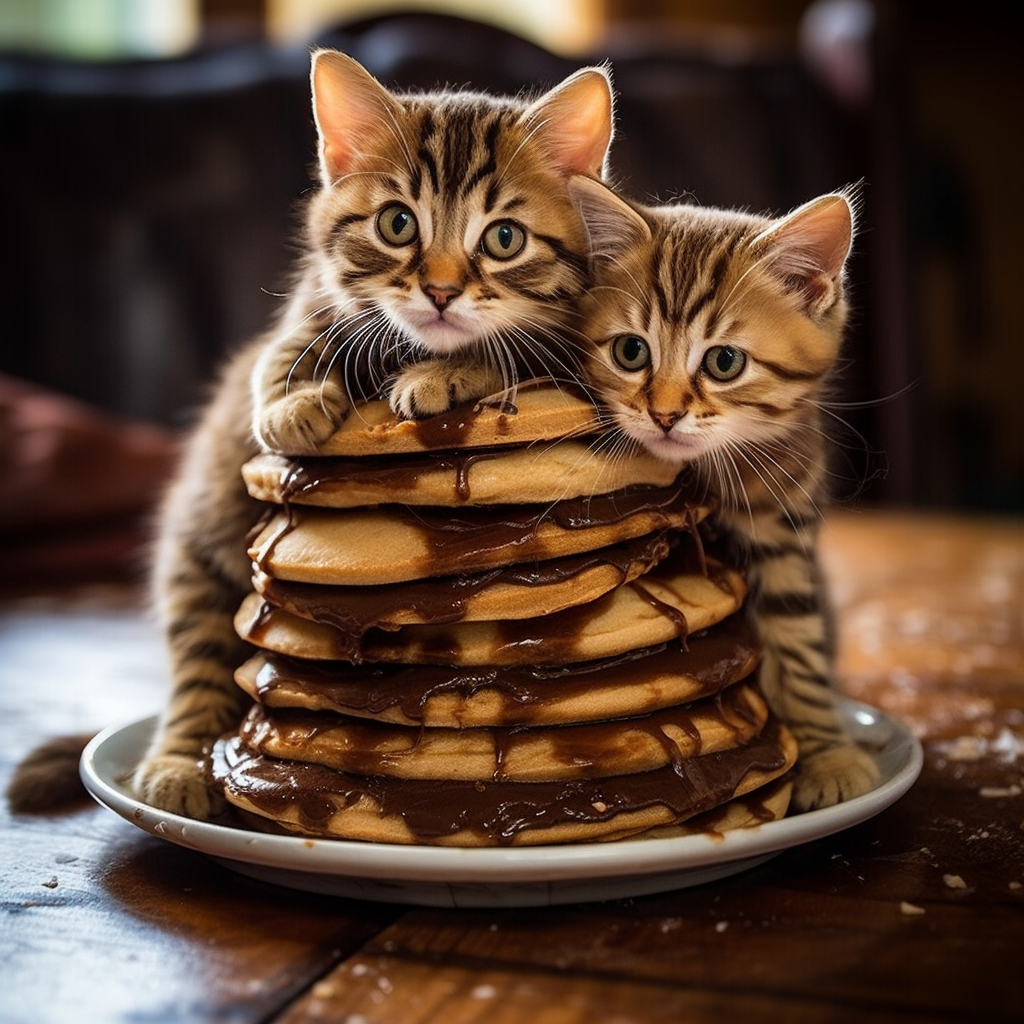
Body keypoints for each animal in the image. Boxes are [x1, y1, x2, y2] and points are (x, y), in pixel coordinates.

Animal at [136, 54, 614, 815]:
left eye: (504, 238)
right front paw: (293, 402)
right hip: (199, 542)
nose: (441, 291)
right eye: (397, 225)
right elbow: (281, 352)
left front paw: (444, 372)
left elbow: (507, 352)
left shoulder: (574, 345)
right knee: (198, 662)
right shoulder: (306, 306)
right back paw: (177, 767)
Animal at [573, 180, 876, 811]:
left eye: (725, 361)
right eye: (631, 352)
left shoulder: (785, 525)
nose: (664, 415)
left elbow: (798, 639)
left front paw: (827, 751)